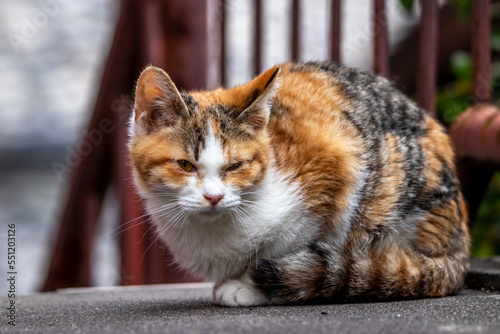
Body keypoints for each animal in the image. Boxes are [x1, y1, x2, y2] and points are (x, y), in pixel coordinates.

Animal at [128, 60, 468, 306]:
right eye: (185, 165)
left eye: (235, 166)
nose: (214, 197)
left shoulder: (338, 161)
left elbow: (292, 246)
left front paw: (249, 286)